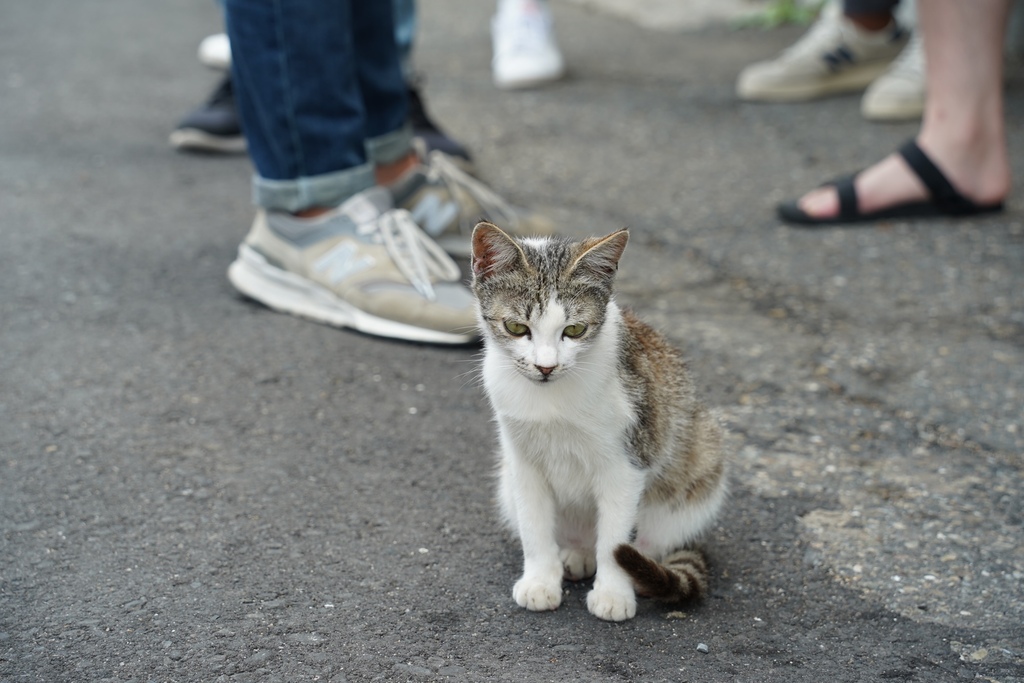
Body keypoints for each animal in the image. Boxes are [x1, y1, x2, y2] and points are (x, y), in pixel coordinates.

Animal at [471, 222, 729, 622]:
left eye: (574, 331)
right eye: (516, 327)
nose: (546, 367)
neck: (551, 400)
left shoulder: (628, 461)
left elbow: (615, 538)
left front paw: (613, 592)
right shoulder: (521, 460)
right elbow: (534, 525)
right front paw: (540, 580)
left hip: (703, 453)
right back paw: (575, 554)